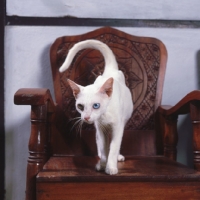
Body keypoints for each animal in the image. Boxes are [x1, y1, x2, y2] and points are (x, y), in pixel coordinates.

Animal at [59, 39, 134, 175]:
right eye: (80, 106)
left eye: (96, 105)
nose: (86, 117)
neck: (104, 116)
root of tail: (110, 71)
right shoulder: (100, 129)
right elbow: (104, 149)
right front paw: (102, 165)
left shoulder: (117, 127)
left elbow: (114, 147)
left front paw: (111, 167)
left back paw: (118, 157)